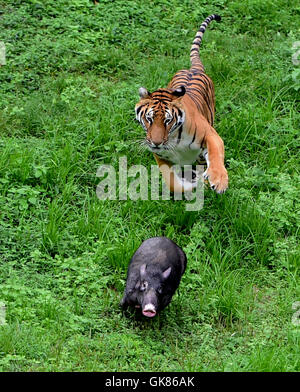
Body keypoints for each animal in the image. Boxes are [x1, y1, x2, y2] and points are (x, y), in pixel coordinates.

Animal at [135, 13, 229, 194]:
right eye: (149, 119)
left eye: (167, 120)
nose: (156, 142)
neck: (173, 140)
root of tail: (195, 68)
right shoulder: (160, 155)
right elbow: (172, 181)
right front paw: (187, 186)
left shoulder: (210, 134)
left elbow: (215, 154)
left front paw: (219, 181)